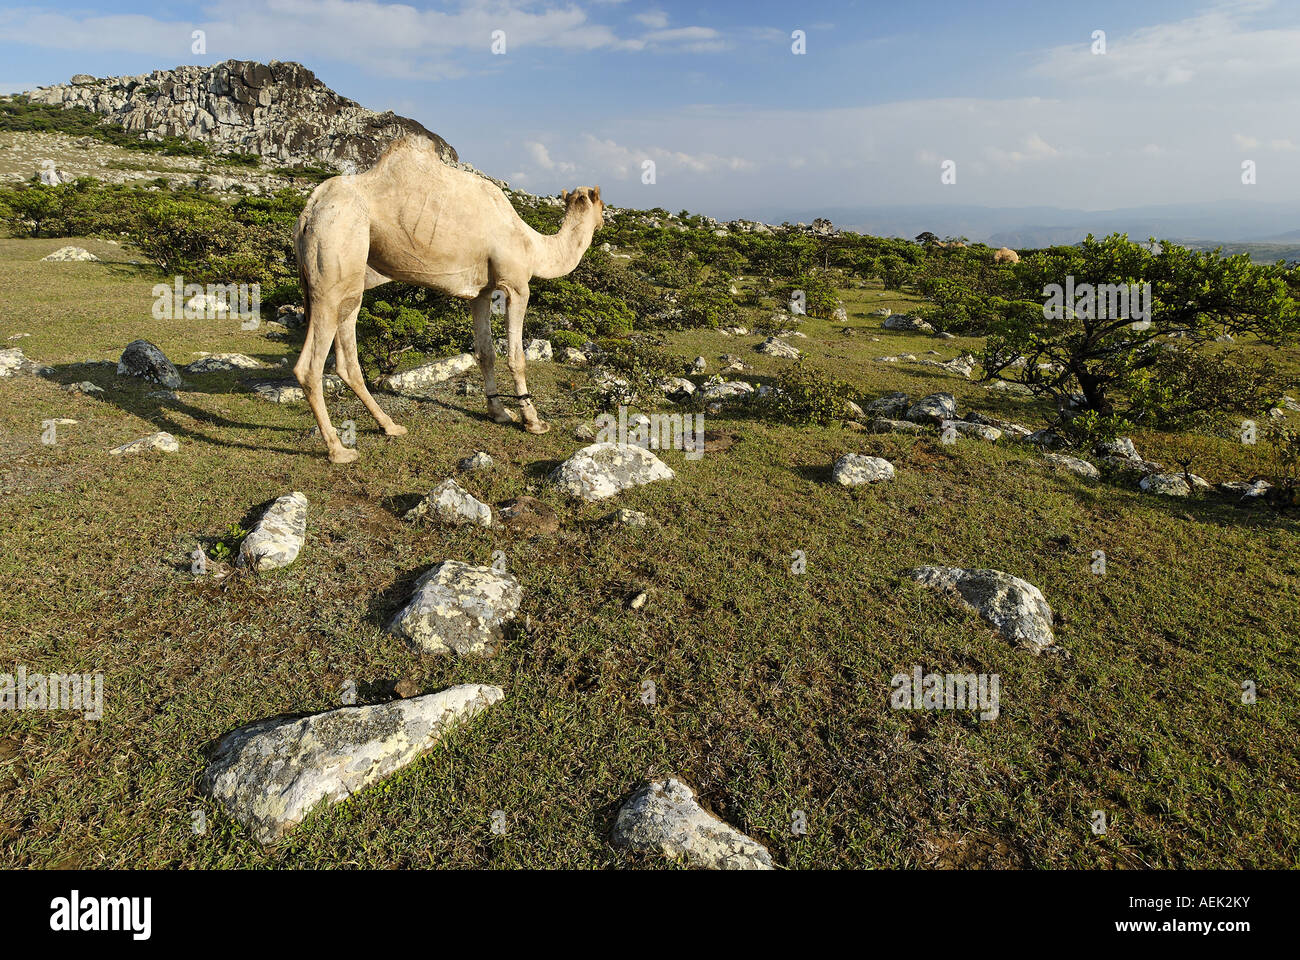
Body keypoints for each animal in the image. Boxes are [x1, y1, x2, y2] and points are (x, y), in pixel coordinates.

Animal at [289, 136, 603, 463]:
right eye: (602, 204)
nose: (603, 220)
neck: (533, 245)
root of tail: (308, 212)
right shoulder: (516, 284)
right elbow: (516, 357)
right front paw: (533, 421)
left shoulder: (480, 293)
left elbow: (486, 352)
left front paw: (499, 412)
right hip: (332, 261)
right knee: (309, 366)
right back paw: (338, 449)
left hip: (350, 282)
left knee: (347, 357)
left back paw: (390, 426)